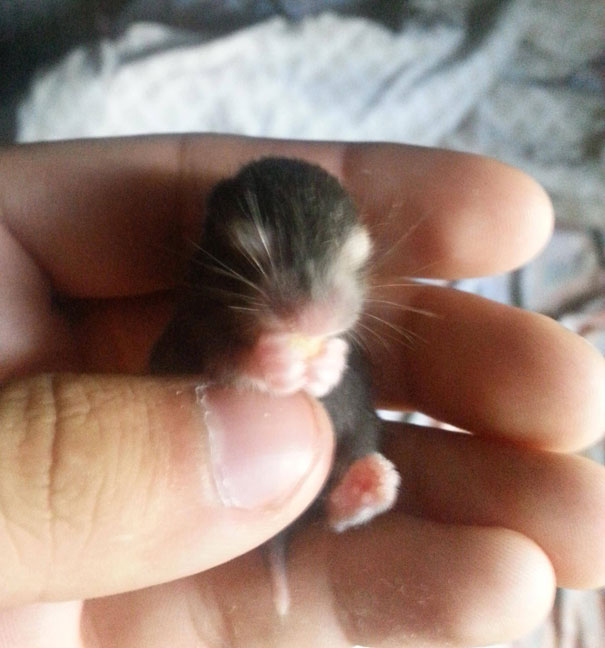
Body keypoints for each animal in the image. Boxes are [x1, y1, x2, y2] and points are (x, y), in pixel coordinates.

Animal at [150, 157, 400, 613]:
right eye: (246, 249)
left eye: (357, 256)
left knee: (331, 513)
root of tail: (280, 534)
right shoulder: (197, 330)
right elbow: (227, 361)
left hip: (361, 431)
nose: (316, 320)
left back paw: (366, 486)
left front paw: (328, 363)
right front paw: (273, 361)